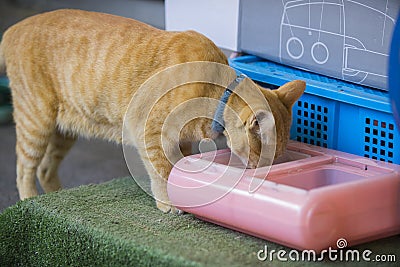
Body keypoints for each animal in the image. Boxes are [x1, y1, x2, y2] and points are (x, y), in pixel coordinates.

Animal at [0, 9, 306, 214]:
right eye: (268, 155)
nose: (266, 172)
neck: (213, 89)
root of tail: (14, 28)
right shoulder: (149, 132)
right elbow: (163, 171)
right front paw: (169, 203)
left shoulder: (181, 140)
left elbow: (180, 167)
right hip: (36, 122)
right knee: (24, 169)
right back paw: (30, 200)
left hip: (64, 132)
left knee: (45, 169)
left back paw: (52, 199)